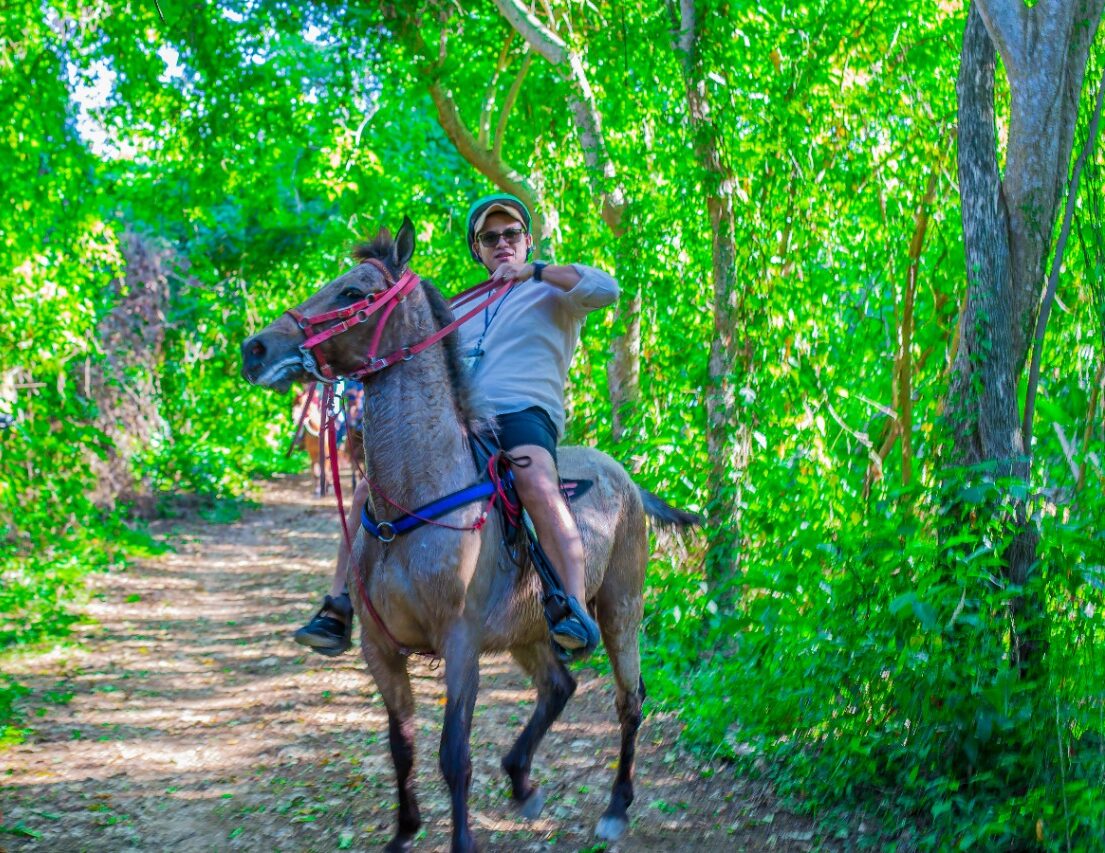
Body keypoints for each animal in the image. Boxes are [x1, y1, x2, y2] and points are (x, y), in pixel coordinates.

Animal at [241, 218, 701, 852]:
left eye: (353, 292)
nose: (256, 349)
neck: (417, 495)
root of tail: (627, 479)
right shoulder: (380, 648)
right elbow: (402, 745)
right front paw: (403, 833)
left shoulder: (460, 646)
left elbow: (453, 755)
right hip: (527, 630)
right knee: (558, 686)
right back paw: (522, 781)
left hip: (619, 609)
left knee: (629, 701)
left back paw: (615, 807)